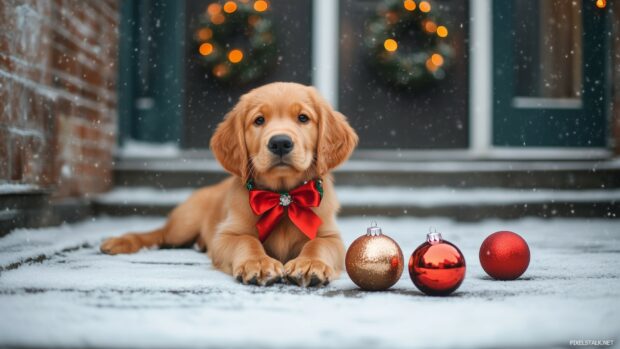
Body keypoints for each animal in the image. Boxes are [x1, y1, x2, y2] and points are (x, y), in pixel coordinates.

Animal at [101, 81, 358, 286]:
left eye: (303, 118)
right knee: (158, 235)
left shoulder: (331, 236)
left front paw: (310, 264)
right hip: (184, 223)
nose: (280, 143)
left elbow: (318, 244)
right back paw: (120, 241)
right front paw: (259, 263)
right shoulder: (226, 235)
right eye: (259, 120)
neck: (283, 197)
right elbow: (247, 240)